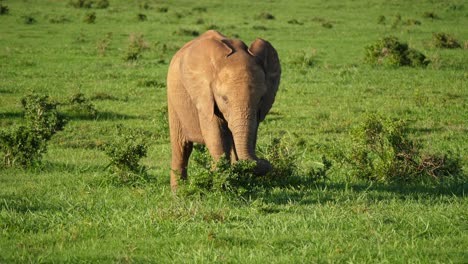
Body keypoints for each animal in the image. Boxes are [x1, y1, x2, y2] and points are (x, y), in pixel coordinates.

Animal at [166, 29, 280, 190]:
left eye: (261, 99)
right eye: (224, 99)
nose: (266, 161)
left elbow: (251, 133)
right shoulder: (206, 95)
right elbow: (216, 134)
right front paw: (220, 181)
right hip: (173, 97)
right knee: (182, 147)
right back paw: (179, 192)